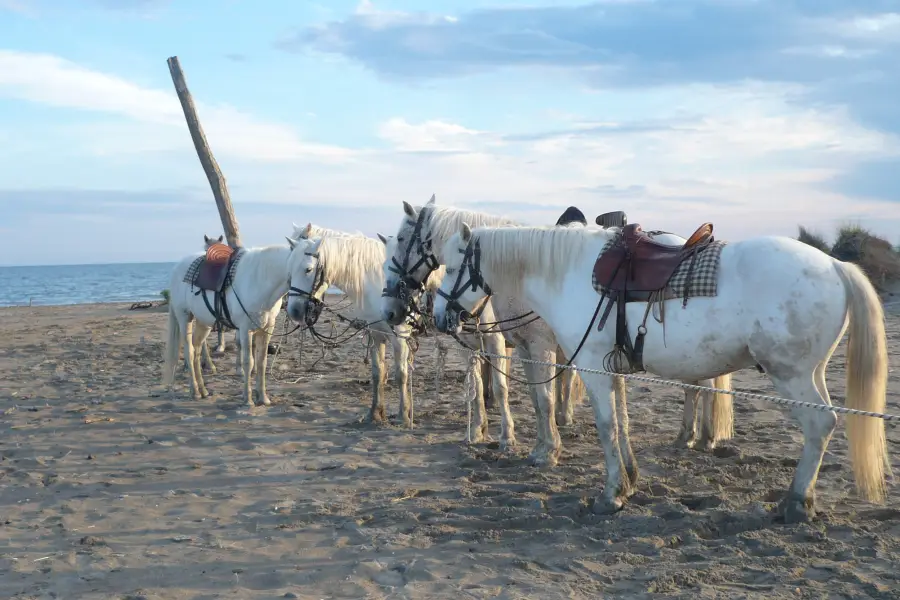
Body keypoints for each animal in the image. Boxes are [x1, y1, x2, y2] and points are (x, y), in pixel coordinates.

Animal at [161, 244, 288, 408]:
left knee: (196, 349)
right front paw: (248, 400)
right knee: (189, 351)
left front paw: (263, 398)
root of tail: (177, 268)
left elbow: (261, 361)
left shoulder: (267, 327)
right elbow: (249, 361)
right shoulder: (245, 327)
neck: (260, 277)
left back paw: (203, 390)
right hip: (184, 316)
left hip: (203, 322)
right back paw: (194, 391)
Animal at [284, 229, 420, 426]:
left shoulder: (400, 336)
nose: (294, 311)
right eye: (289, 268)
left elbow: (401, 375)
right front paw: (375, 413)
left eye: (308, 269)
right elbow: (378, 373)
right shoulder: (376, 333)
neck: (377, 280)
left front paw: (404, 417)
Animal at [432, 223, 888, 524]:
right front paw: (630, 480)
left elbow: (606, 427)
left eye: (452, 267)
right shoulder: (610, 368)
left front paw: (611, 495)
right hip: (812, 374)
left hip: (791, 376)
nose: (439, 318)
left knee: (820, 425)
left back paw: (795, 502)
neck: (568, 274)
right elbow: (622, 422)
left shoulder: (592, 367)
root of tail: (836, 266)